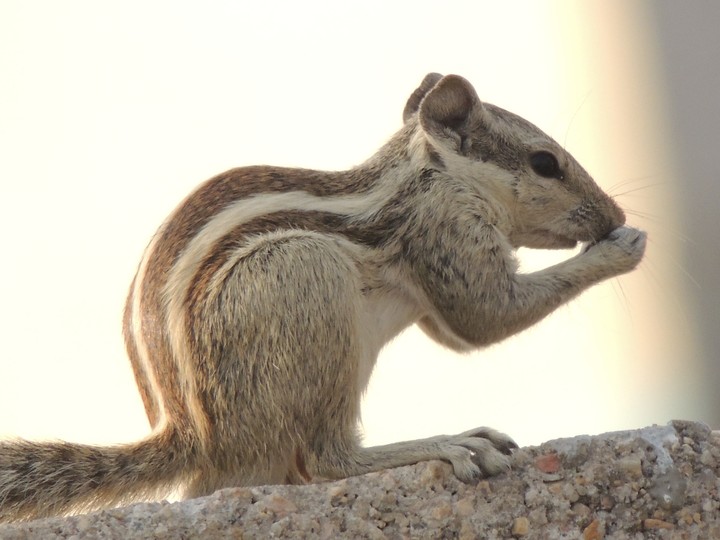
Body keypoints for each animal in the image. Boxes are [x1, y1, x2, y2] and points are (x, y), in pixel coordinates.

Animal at [0, 73, 646, 522]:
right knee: (326, 458)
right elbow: (484, 319)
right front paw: (620, 249)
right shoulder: (445, 230)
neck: (430, 176)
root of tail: (194, 436)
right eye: (546, 163)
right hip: (310, 279)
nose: (612, 214)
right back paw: (445, 442)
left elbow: (455, 329)